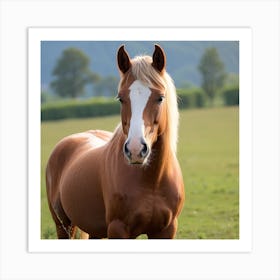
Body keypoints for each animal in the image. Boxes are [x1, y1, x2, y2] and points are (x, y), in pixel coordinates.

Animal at [45, 44, 186, 238]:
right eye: (121, 98)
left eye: (160, 97)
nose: (135, 150)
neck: (152, 182)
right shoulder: (118, 229)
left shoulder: (166, 231)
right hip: (63, 226)